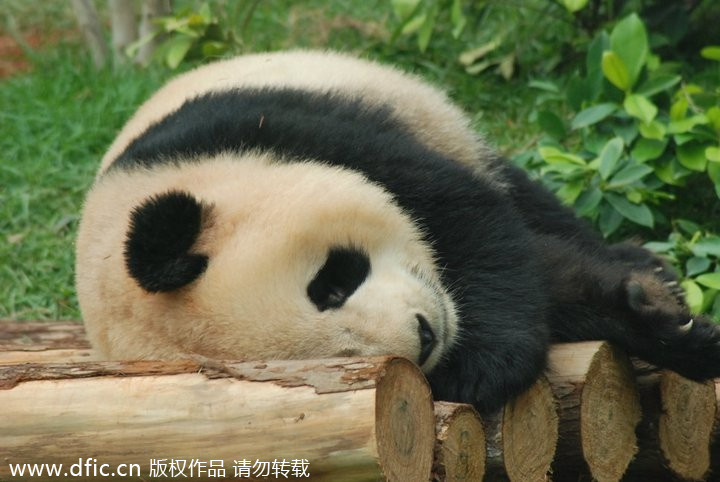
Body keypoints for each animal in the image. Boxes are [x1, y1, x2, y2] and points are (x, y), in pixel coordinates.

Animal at [76, 50, 720, 414]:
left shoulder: (275, 132)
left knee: (518, 191)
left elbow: (473, 220)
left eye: (331, 285)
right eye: (340, 359)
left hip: (416, 109)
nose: (426, 336)